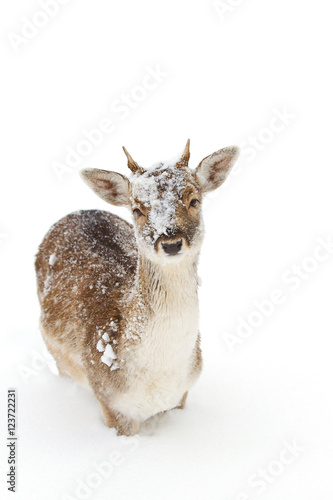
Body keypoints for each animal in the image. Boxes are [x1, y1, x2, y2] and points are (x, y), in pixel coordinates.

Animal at [34, 140, 239, 434]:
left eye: (194, 200)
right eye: (137, 210)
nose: (171, 243)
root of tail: (79, 211)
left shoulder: (182, 394)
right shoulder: (109, 398)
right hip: (57, 354)